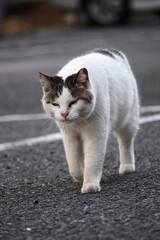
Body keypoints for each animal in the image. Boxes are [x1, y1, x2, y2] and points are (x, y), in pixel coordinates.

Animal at [39, 48, 139, 193]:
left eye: (73, 102)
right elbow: (73, 166)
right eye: (55, 104)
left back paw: (127, 166)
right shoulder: (69, 136)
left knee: (125, 141)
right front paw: (81, 177)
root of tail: (111, 50)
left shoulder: (95, 134)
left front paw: (90, 185)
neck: (78, 122)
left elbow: (92, 160)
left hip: (128, 120)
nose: (64, 114)